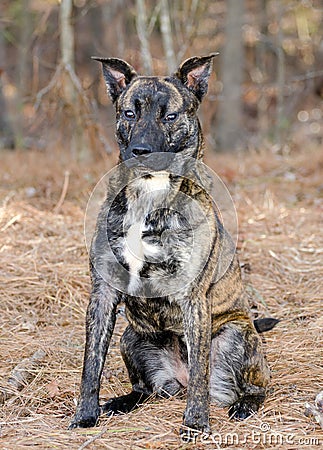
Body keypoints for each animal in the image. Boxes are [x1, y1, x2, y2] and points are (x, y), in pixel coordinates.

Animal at [69, 54, 278, 438]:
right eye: (129, 113)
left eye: (170, 116)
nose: (141, 151)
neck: (150, 192)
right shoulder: (102, 294)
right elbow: (91, 366)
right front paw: (85, 415)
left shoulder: (193, 298)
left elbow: (199, 374)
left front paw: (195, 423)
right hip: (131, 337)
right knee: (146, 389)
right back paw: (122, 402)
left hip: (236, 335)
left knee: (253, 385)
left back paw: (244, 405)